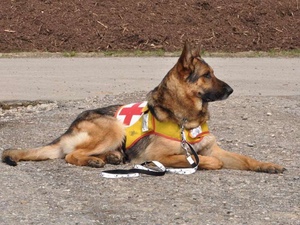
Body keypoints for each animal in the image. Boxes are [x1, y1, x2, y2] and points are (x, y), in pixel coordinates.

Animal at [1, 44, 286, 174]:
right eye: (207, 75)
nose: (231, 90)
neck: (187, 121)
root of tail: (69, 128)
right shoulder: (164, 156)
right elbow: (208, 161)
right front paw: (205, 164)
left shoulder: (214, 149)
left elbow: (244, 158)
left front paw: (267, 165)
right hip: (112, 128)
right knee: (70, 155)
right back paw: (95, 160)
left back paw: (111, 158)